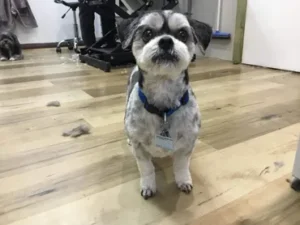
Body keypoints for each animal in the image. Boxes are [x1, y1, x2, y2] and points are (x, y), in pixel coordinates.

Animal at [118, 10, 212, 199]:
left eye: (182, 34)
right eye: (147, 33)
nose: (166, 41)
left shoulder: (187, 144)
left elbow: (182, 166)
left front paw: (183, 181)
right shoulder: (140, 148)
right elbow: (146, 169)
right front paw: (148, 186)